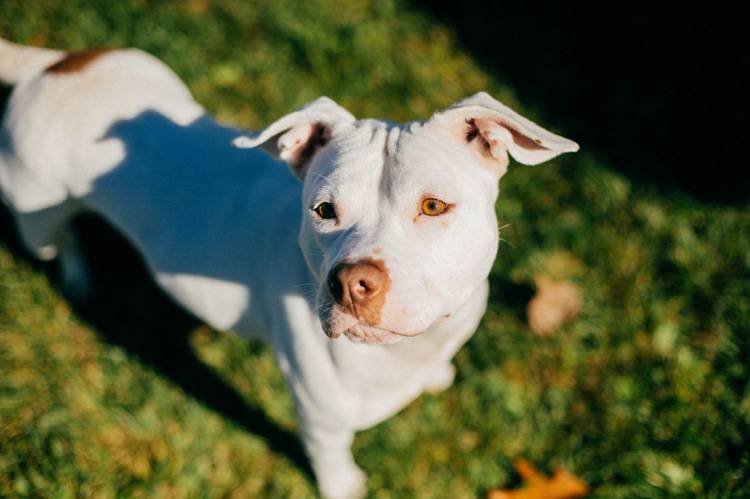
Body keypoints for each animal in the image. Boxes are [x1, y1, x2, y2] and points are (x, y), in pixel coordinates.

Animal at [0, 40, 580, 499]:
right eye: (323, 210)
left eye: (433, 206)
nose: (350, 283)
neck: (405, 351)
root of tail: (50, 66)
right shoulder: (321, 419)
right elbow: (331, 460)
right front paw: (344, 486)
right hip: (35, 214)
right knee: (60, 239)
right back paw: (79, 277)